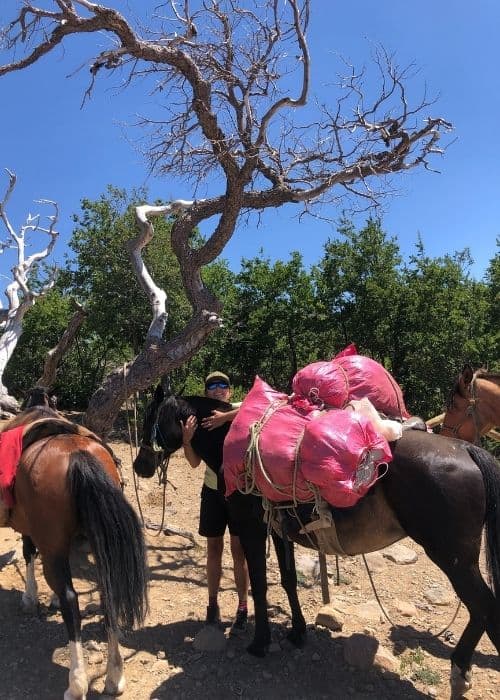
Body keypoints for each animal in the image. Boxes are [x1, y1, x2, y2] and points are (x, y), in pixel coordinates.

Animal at [0, 396, 147, 696]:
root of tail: (78, 457)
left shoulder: (35, 534)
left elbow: (28, 554)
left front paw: (30, 598)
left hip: (53, 545)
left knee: (71, 600)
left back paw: (76, 685)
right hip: (98, 544)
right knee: (107, 592)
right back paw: (114, 676)